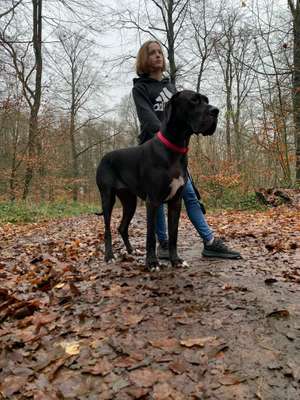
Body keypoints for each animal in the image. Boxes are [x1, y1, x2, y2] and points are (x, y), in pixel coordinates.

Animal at [96, 91, 218, 268]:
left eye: (207, 100)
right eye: (194, 100)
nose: (216, 111)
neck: (175, 149)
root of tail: (103, 157)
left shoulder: (176, 202)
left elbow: (173, 235)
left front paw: (176, 260)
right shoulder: (152, 201)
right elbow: (151, 236)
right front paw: (152, 262)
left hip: (130, 201)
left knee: (122, 227)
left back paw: (132, 250)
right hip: (107, 198)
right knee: (107, 229)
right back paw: (109, 256)